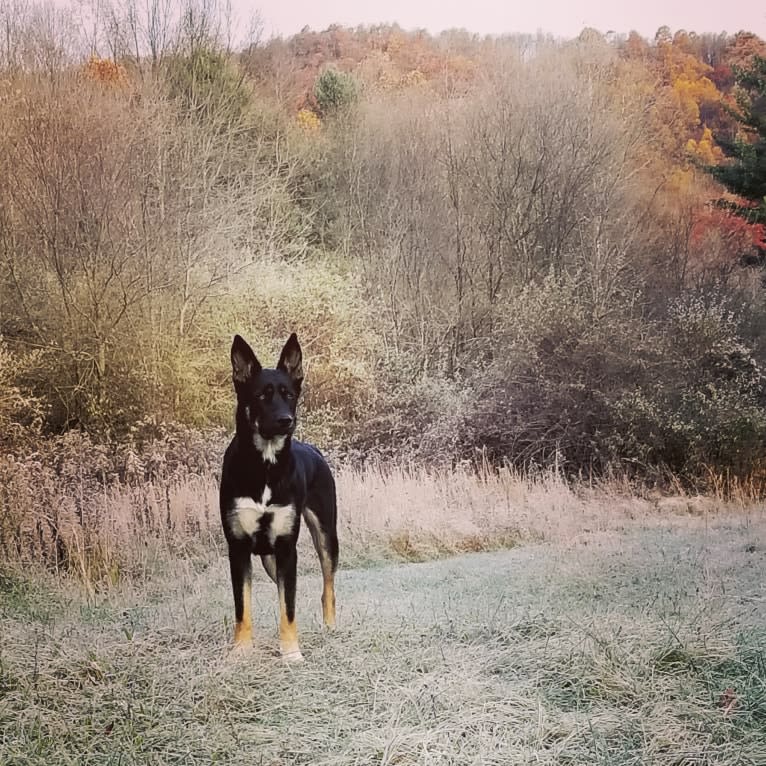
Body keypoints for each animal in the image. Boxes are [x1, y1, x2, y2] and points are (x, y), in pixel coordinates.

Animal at [222, 332, 342, 664]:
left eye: (289, 394)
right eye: (261, 396)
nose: (286, 420)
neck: (265, 466)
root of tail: (312, 448)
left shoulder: (288, 548)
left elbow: (287, 608)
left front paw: (291, 653)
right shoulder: (238, 548)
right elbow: (243, 608)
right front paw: (242, 650)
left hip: (326, 537)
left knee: (327, 588)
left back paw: (330, 627)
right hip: (269, 558)